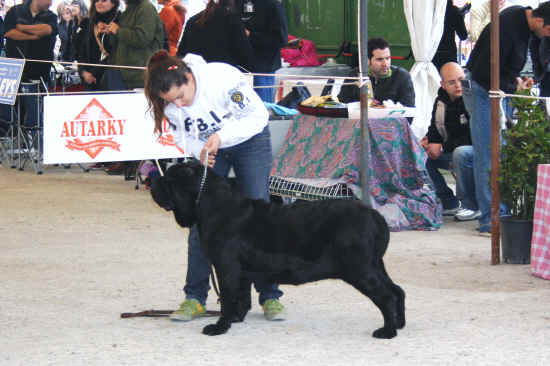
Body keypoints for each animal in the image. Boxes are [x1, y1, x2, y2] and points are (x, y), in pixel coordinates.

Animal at [151, 162, 406, 338]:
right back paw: (399, 323)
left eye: (169, 180)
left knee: (385, 295)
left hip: (359, 268)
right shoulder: (241, 272)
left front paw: (220, 326)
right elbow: (241, 297)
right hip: (374, 265)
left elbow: (228, 298)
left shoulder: (227, 268)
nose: (153, 181)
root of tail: (374, 215)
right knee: (397, 291)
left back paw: (387, 331)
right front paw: (236, 318)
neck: (212, 205)